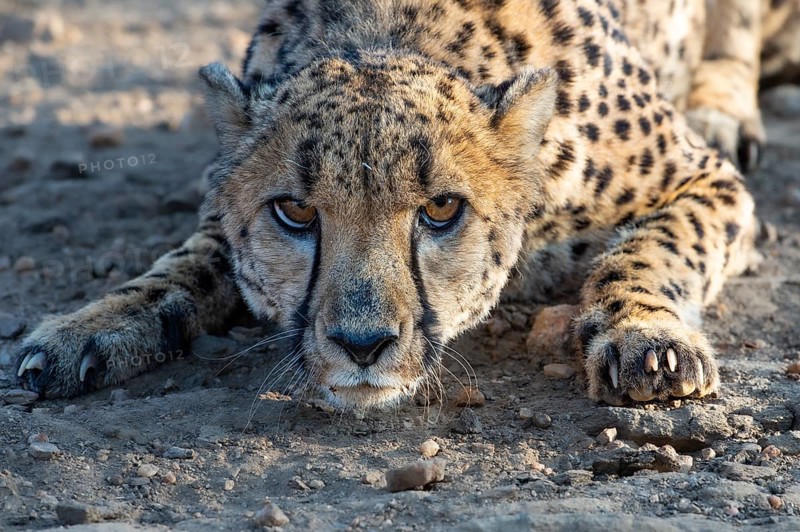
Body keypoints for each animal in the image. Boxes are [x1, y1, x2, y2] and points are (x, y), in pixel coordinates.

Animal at [13, 0, 799, 409]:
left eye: (442, 210)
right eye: (296, 213)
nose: (362, 345)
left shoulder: (704, 182)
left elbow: (647, 252)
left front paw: (649, 337)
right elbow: (188, 264)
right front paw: (93, 323)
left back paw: (724, 106)